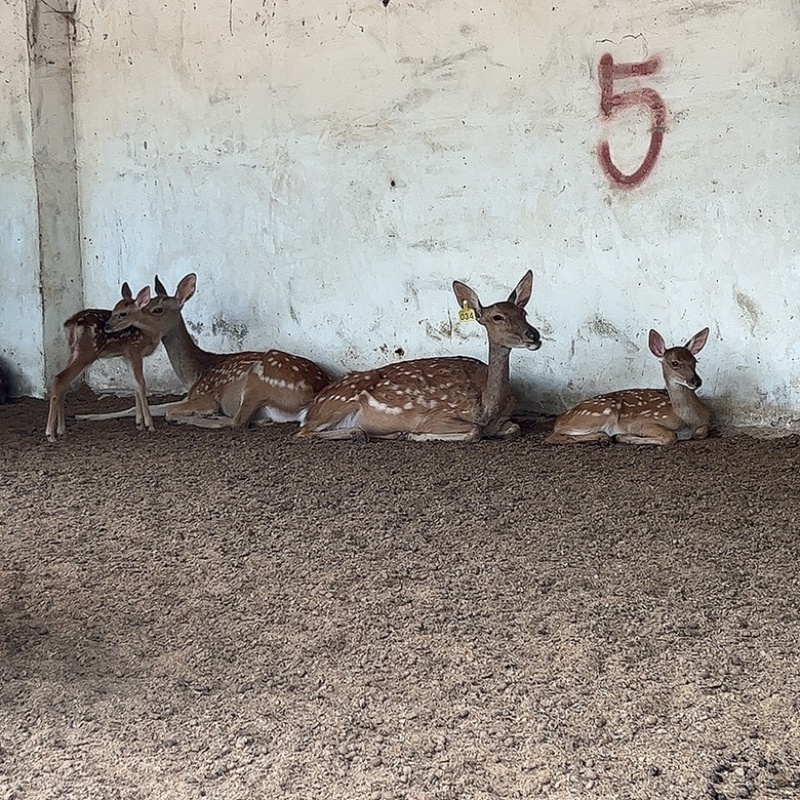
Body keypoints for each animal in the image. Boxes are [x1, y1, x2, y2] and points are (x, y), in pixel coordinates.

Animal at [45, 283, 162, 442]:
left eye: (122, 313)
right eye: (114, 311)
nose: (108, 326)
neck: (149, 333)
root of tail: (71, 323)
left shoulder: (127, 355)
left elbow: (135, 385)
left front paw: (139, 423)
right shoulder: (133, 349)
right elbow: (141, 384)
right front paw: (149, 425)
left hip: (74, 350)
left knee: (63, 383)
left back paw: (61, 430)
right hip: (87, 351)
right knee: (59, 379)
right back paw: (50, 434)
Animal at [74, 273, 331, 429]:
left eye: (156, 309)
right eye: (146, 303)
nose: (110, 324)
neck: (193, 375)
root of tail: (314, 392)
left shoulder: (204, 396)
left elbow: (170, 411)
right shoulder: (188, 396)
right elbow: (137, 408)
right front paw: (83, 415)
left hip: (257, 380)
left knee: (236, 421)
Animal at [296, 271, 541, 442]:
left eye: (524, 313)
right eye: (497, 317)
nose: (534, 335)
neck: (489, 408)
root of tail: (309, 409)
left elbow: (514, 428)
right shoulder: (439, 415)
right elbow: (474, 430)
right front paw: (414, 434)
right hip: (337, 406)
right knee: (303, 433)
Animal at [546, 327, 711, 446]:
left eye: (695, 361)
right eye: (674, 363)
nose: (696, 381)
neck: (688, 422)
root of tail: (560, 418)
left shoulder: (703, 425)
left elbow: (703, 431)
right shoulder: (642, 423)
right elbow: (671, 436)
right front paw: (626, 438)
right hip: (602, 414)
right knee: (553, 437)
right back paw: (604, 438)